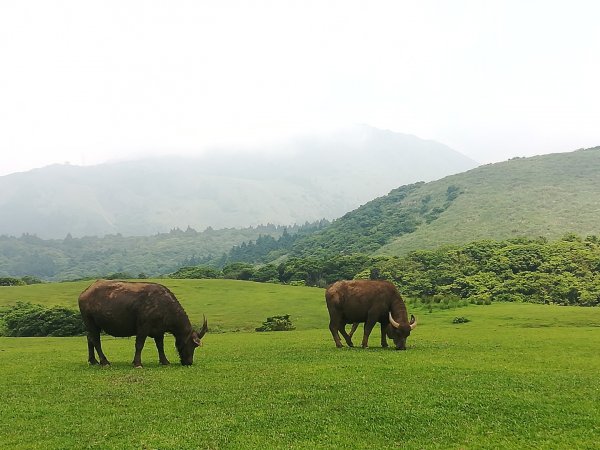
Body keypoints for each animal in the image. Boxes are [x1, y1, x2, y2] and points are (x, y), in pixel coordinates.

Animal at [77, 280, 209, 368]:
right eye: (193, 344)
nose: (189, 362)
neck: (164, 306)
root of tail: (84, 293)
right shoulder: (142, 328)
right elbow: (139, 345)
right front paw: (137, 363)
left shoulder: (159, 331)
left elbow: (160, 346)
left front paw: (165, 361)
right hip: (91, 322)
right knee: (96, 340)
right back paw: (104, 362)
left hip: (93, 326)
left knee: (89, 338)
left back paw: (93, 361)